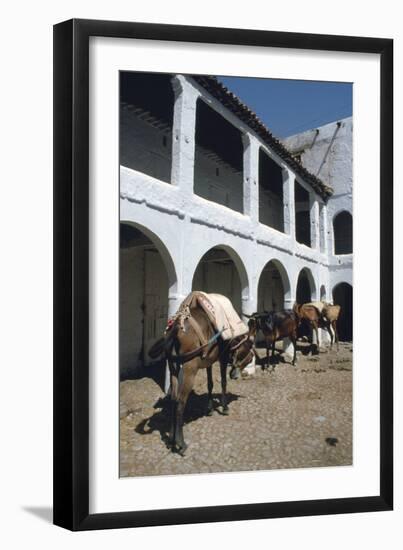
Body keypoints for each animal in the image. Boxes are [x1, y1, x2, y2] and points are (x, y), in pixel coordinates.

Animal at [152, 298, 256, 458]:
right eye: (249, 357)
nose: (235, 375)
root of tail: (176, 327)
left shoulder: (208, 361)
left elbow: (210, 384)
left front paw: (209, 409)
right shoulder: (222, 358)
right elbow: (223, 382)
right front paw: (224, 408)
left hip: (173, 366)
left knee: (174, 399)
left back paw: (171, 440)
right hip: (189, 368)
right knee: (181, 402)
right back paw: (181, 444)